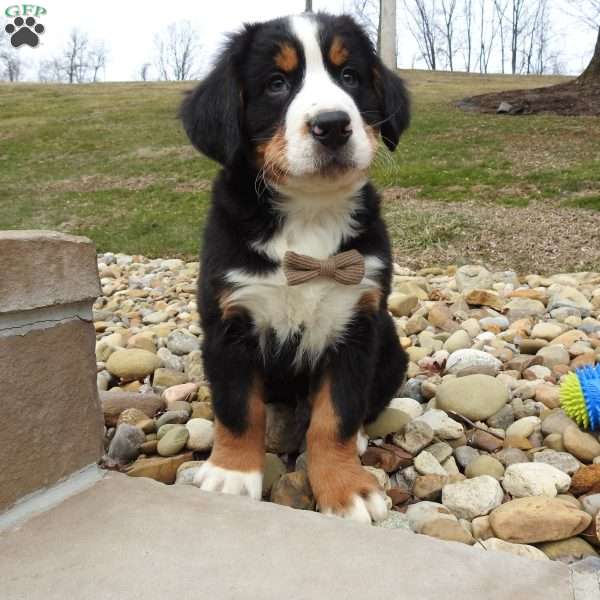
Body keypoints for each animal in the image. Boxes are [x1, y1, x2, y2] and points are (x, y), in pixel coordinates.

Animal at [180, 11, 410, 524]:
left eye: (350, 77)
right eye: (277, 84)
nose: (332, 124)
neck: (310, 215)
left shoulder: (355, 324)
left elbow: (336, 417)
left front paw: (346, 487)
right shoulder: (230, 321)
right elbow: (237, 409)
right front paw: (231, 475)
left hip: (389, 343)